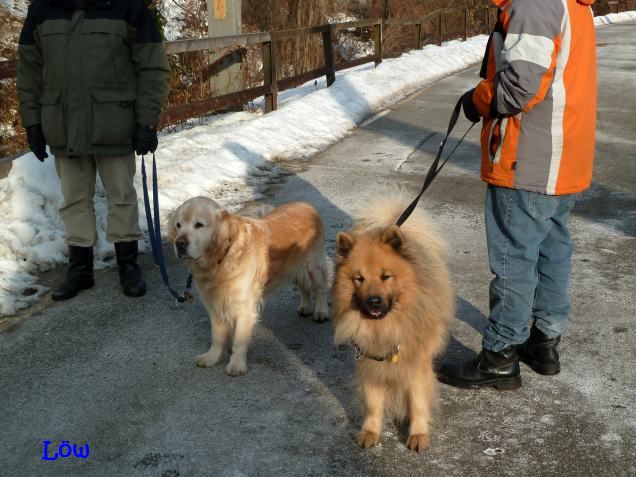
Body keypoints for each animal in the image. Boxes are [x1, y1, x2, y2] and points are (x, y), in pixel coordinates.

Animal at [166, 197, 330, 376]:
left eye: (199, 225)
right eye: (178, 225)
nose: (179, 243)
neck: (222, 258)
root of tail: (307, 205)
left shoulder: (244, 307)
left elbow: (239, 340)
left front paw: (236, 364)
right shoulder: (215, 304)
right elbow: (217, 336)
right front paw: (212, 357)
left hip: (313, 266)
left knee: (321, 288)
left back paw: (321, 312)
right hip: (294, 267)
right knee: (303, 287)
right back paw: (305, 307)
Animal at [330, 191, 454, 450]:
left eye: (385, 276)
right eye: (359, 278)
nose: (374, 301)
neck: (384, 328)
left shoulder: (417, 366)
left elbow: (418, 403)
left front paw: (418, 435)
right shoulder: (369, 363)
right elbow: (372, 403)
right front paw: (370, 431)